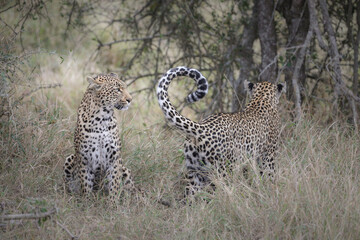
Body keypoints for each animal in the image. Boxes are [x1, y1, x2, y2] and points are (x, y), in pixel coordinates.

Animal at [63, 72, 134, 203]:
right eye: (117, 89)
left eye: (125, 87)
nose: (130, 100)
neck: (101, 119)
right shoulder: (84, 158)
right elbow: (86, 184)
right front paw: (87, 203)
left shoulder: (115, 158)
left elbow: (114, 184)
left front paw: (113, 204)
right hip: (70, 158)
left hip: (124, 169)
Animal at [156, 66, 286, 196]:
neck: (262, 98)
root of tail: (201, 127)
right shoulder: (268, 156)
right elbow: (270, 176)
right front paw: (272, 191)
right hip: (223, 172)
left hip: (195, 173)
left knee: (189, 196)